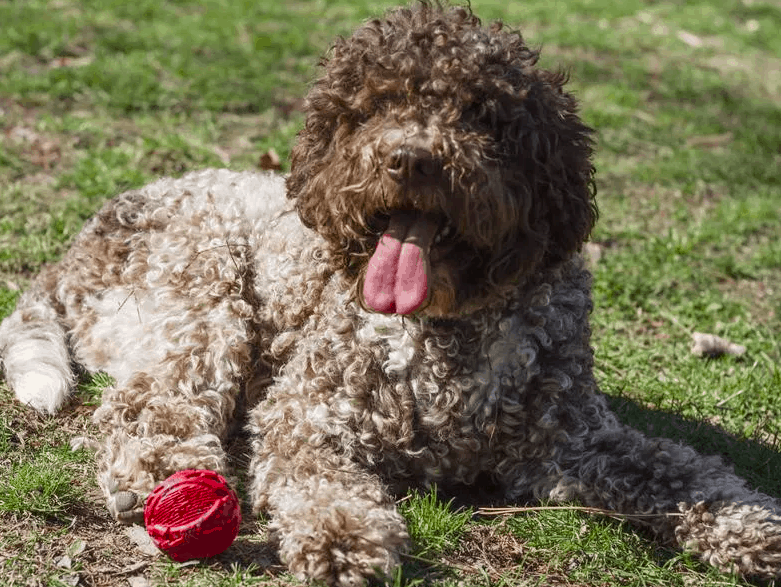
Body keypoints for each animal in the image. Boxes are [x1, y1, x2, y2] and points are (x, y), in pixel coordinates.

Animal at [1, 2, 780, 584]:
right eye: (374, 108)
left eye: (479, 112)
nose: (410, 158)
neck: (447, 329)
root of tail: (76, 246)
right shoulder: (306, 414)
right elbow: (319, 482)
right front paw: (343, 538)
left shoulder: (574, 444)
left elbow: (679, 470)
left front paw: (751, 528)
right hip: (206, 291)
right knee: (147, 407)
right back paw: (167, 474)